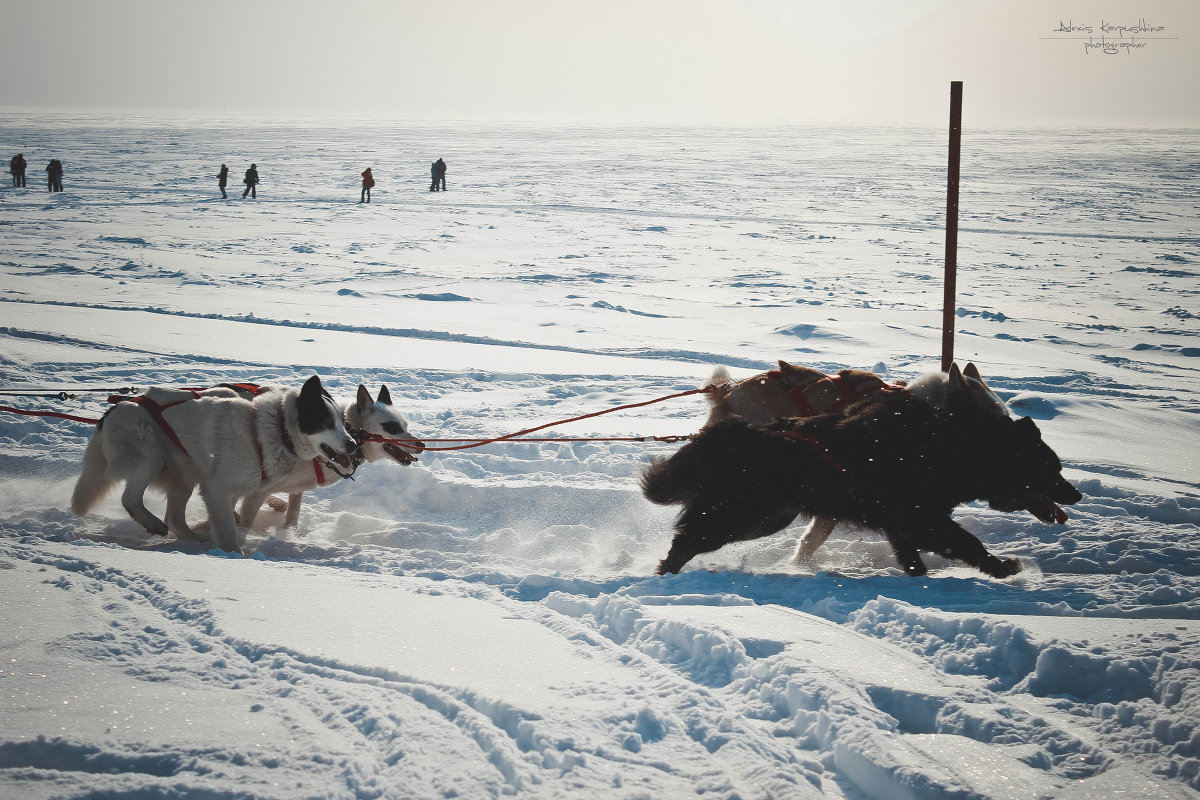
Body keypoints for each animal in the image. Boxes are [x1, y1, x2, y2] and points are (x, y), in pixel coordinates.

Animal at [71, 374, 355, 551]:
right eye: (326, 423)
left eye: (343, 423)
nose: (353, 444)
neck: (273, 432)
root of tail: (112, 410)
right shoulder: (217, 489)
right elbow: (229, 531)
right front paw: (233, 554)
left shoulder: (229, 490)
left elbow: (230, 518)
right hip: (151, 457)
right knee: (131, 499)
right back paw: (153, 523)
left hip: (183, 478)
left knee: (175, 518)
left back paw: (192, 539)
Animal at [643, 362, 1084, 575]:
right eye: (1050, 468)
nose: (1076, 494)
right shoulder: (919, 516)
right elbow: (966, 542)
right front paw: (1003, 567)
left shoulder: (901, 520)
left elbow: (913, 558)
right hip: (752, 514)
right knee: (690, 536)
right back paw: (667, 570)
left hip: (767, 515)